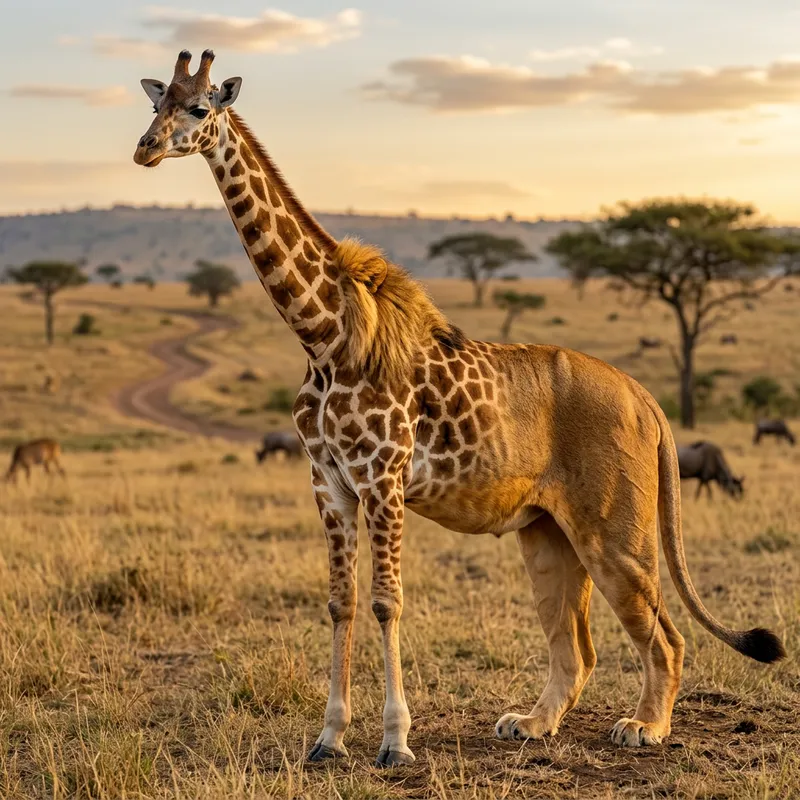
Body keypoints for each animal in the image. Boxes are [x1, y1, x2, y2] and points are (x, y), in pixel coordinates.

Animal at [133, 51, 785, 766]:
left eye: (200, 108)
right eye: (156, 103)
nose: (146, 148)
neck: (322, 333)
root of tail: (647, 399)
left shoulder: (383, 479)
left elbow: (386, 602)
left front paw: (395, 742)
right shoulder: (327, 481)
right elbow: (339, 603)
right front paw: (329, 738)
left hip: (615, 531)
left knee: (665, 634)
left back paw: (645, 727)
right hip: (547, 533)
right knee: (576, 646)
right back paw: (530, 724)